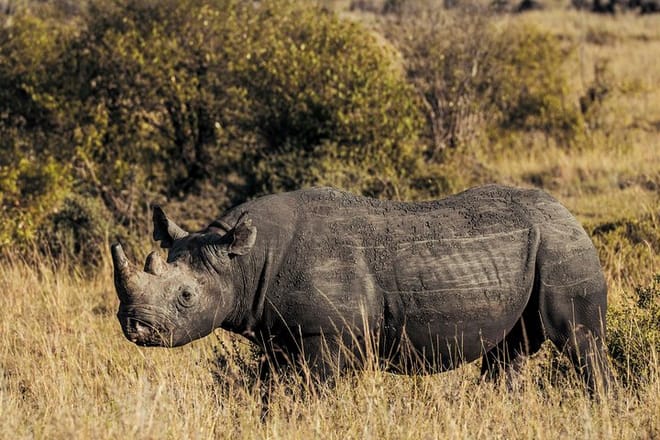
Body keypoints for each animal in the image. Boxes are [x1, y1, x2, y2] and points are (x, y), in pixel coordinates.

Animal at [112, 185, 611, 393]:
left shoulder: (328, 335)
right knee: (510, 350)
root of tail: (569, 212)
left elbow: (313, 390)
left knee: (578, 339)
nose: (135, 327)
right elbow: (272, 389)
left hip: (562, 246)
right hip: (541, 246)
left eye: (186, 297)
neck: (244, 260)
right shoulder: (279, 333)